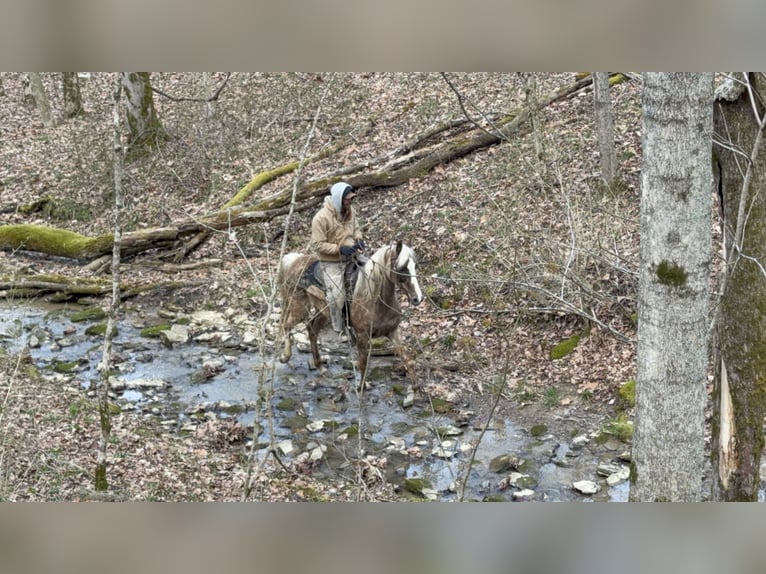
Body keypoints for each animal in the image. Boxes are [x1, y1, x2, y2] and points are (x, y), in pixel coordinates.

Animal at [277, 240, 423, 386]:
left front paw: (417, 388)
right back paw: (285, 357)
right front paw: (362, 387)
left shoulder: (393, 331)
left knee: (312, 329)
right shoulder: (362, 336)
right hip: (299, 308)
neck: (374, 297)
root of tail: (294, 260)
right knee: (286, 325)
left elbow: (408, 360)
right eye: (402, 268)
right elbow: (363, 364)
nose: (418, 298)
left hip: (324, 312)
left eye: (414, 266)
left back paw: (320, 367)